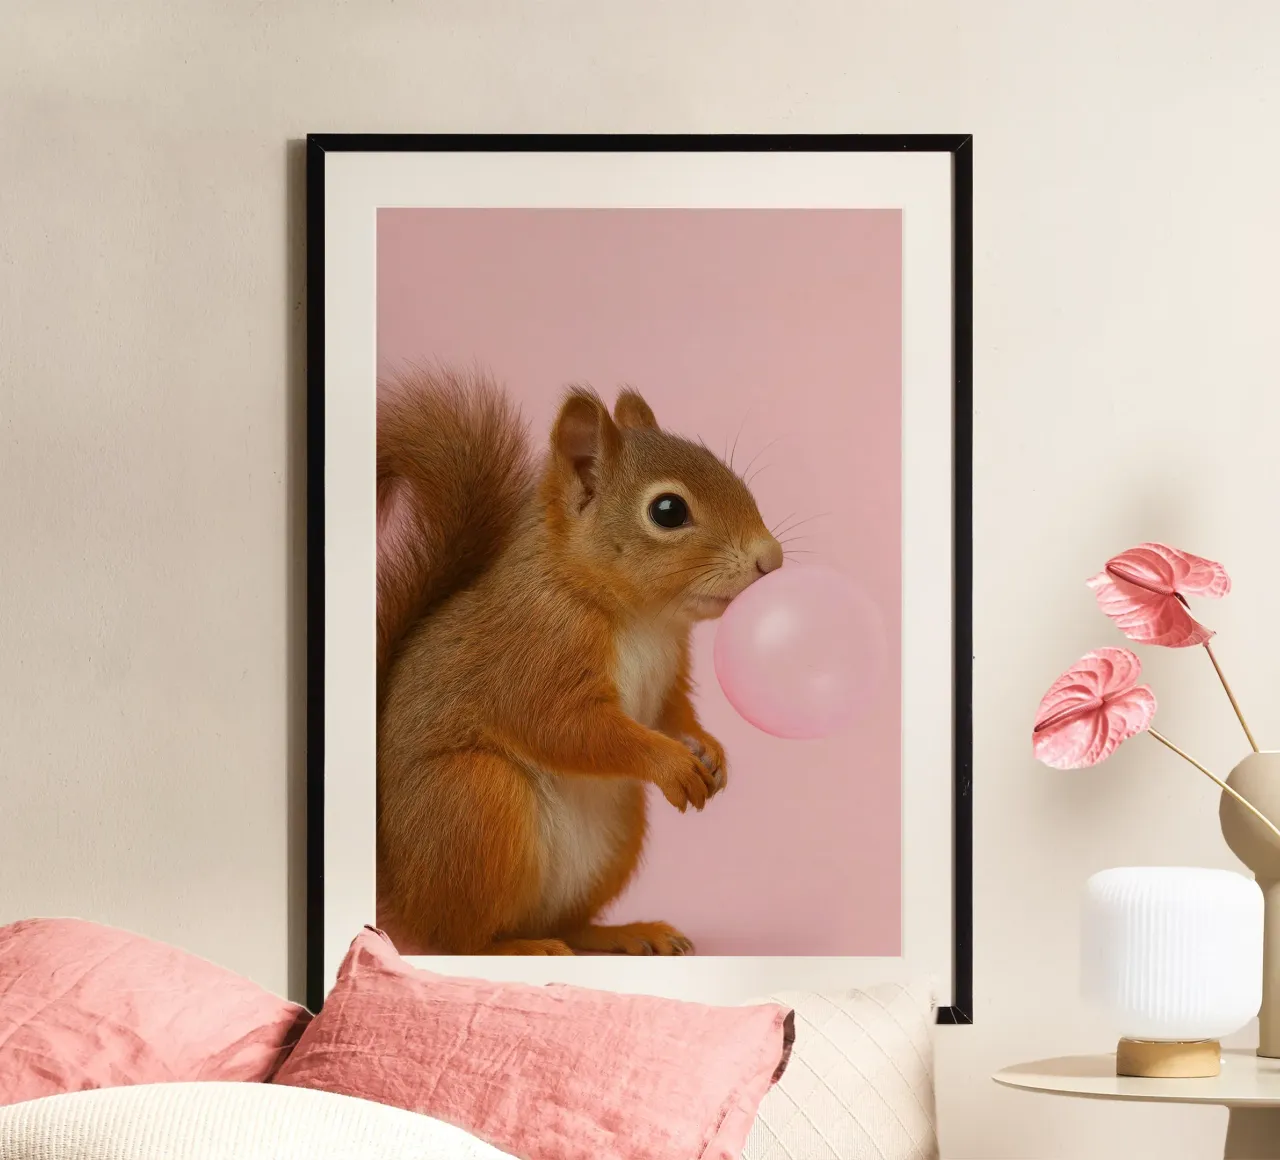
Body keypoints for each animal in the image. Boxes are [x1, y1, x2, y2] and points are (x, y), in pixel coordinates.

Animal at [375, 366, 783, 956]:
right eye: (668, 511)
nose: (771, 559)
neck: (642, 619)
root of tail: (403, 900)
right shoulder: (537, 652)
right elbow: (568, 727)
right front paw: (672, 763)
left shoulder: (670, 674)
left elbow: (671, 715)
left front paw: (708, 749)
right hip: (476, 799)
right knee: (456, 939)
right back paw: (517, 948)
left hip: (617, 834)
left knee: (566, 922)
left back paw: (627, 933)